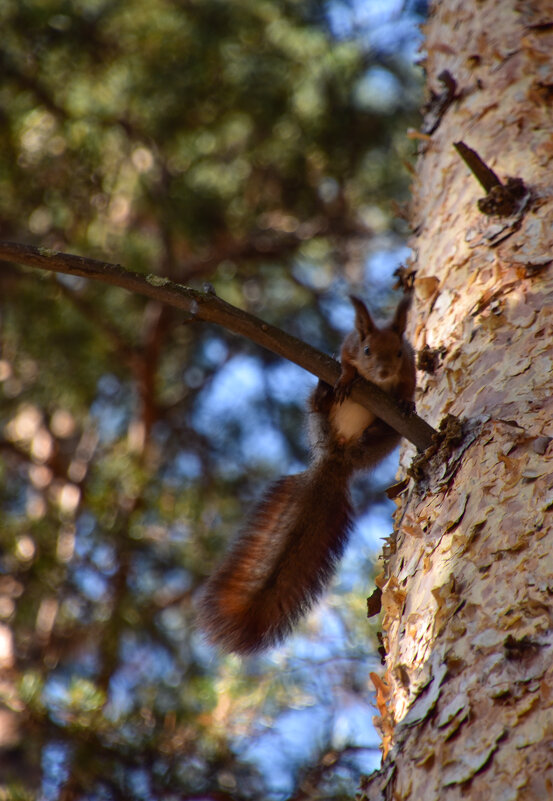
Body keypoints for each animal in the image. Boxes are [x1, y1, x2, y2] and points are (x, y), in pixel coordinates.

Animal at [196, 296, 416, 652]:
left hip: (381, 444)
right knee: (318, 404)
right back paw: (327, 391)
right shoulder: (348, 347)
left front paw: (408, 403)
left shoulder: (408, 369)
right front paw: (346, 376)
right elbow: (345, 360)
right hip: (318, 420)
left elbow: (409, 387)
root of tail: (337, 456)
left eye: (398, 352)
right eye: (367, 350)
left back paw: (378, 428)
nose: (383, 372)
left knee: (379, 437)